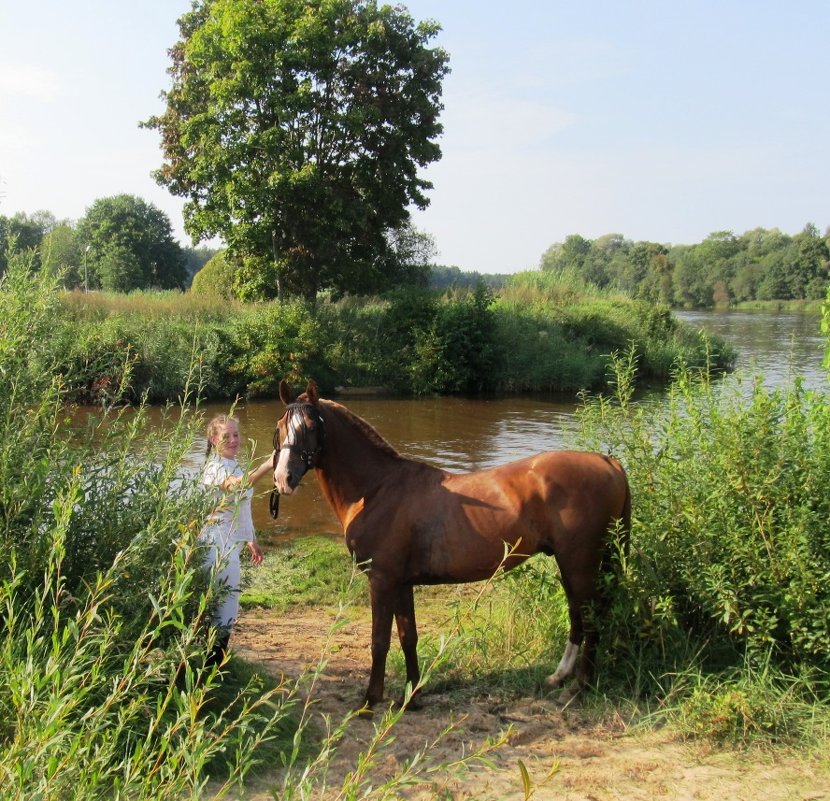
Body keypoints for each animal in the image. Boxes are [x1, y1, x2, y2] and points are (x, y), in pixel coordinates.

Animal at [272, 380, 632, 708]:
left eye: (309, 427)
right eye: (280, 428)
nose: (283, 478)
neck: (377, 489)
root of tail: (609, 462)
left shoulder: (382, 580)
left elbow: (379, 640)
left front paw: (370, 700)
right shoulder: (401, 583)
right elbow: (408, 637)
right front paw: (412, 696)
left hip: (580, 563)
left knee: (591, 618)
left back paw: (579, 687)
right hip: (571, 563)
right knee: (577, 613)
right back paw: (560, 676)